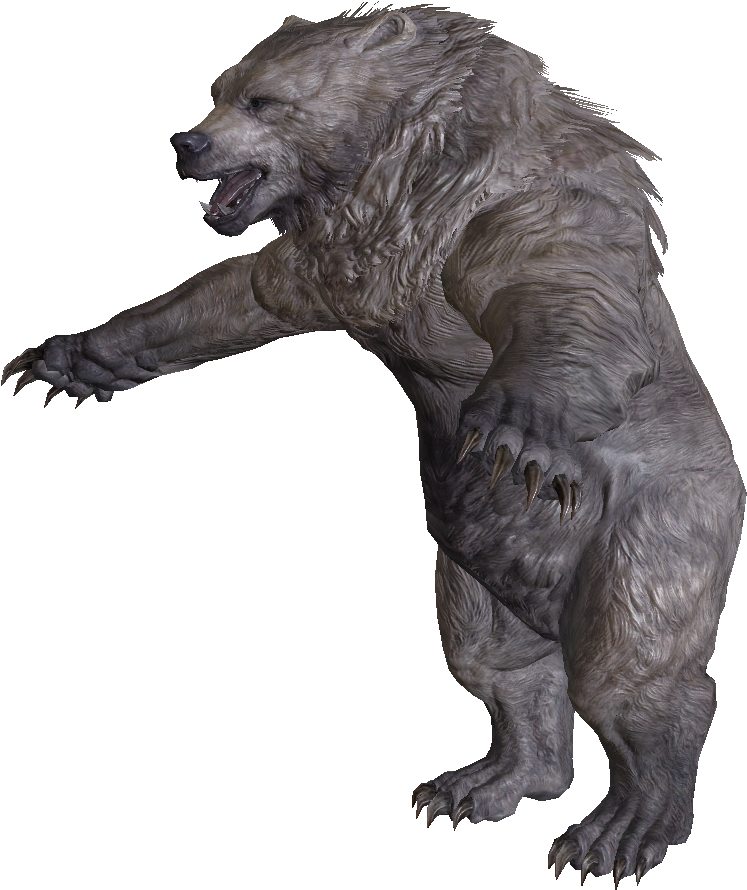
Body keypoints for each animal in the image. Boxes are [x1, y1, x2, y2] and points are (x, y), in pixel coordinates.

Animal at [3, 6, 744, 884]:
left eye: (262, 100)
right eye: (217, 89)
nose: (186, 142)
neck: (388, 179)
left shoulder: (499, 206)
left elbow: (557, 282)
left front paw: (519, 427)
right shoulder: (338, 264)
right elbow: (239, 293)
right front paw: (64, 362)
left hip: (654, 521)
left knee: (625, 666)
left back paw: (617, 834)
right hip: (474, 563)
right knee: (491, 656)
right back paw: (477, 785)